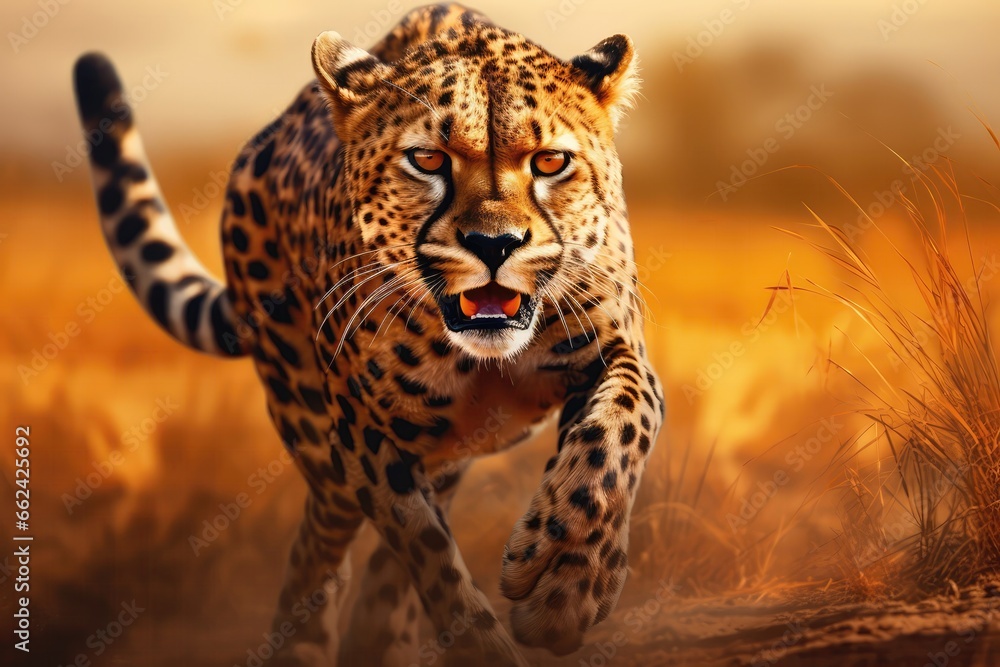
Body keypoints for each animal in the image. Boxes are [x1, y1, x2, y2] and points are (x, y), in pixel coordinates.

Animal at [72, 4, 664, 665]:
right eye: (427, 160)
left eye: (550, 162)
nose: (495, 245)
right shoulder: (364, 435)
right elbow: (428, 554)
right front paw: (488, 639)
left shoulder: (616, 352)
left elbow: (617, 431)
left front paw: (571, 583)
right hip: (319, 442)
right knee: (319, 545)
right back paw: (309, 644)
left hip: (442, 448)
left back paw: (382, 634)